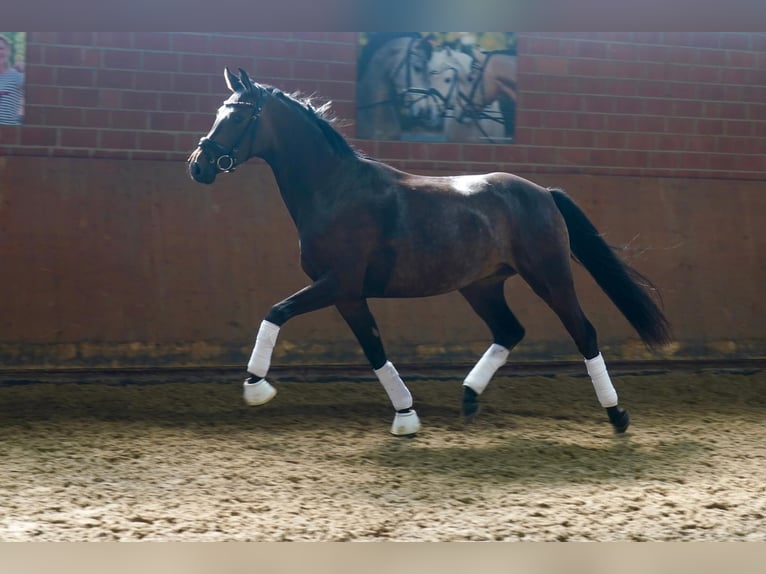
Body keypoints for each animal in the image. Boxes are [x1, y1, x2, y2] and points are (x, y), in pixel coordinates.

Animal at [189, 66, 676, 436]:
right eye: (219, 112)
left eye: (237, 117)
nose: (198, 165)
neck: (335, 189)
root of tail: (543, 193)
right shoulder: (348, 295)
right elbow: (373, 350)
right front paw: (406, 417)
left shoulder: (337, 283)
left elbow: (276, 312)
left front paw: (256, 387)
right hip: (481, 285)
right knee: (509, 331)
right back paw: (469, 397)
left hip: (550, 276)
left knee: (584, 333)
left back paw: (617, 415)